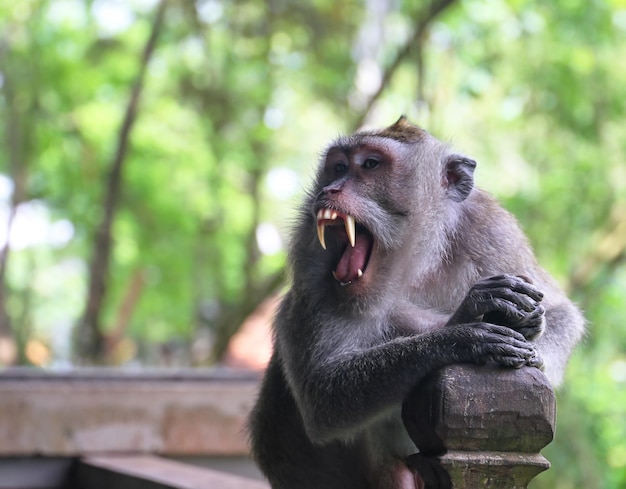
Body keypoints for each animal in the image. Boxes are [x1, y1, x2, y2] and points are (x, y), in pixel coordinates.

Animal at [247, 118, 584, 488]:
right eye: (337, 168)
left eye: (370, 164)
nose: (329, 190)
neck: (417, 262)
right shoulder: (310, 266)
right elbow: (320, 394)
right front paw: (463, 330)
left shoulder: (491, 228)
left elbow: (562, 312)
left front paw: (533, 337)